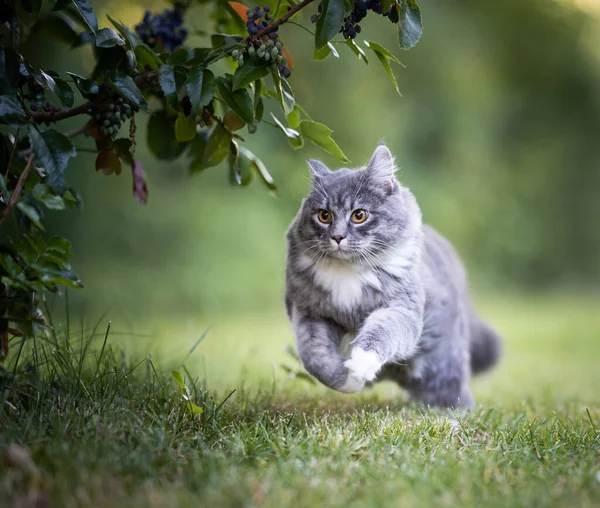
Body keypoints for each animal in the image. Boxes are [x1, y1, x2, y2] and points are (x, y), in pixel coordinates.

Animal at [284, 142, 500, 408]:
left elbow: (381, 331)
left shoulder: (401, 308)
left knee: (454, 393)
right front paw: (348, 380)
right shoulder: (309, 314)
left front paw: (361, 363)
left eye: (359, 215)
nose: (337, 237)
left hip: (444, 366)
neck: (349, 271)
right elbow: (316, 358)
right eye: (324, 215)